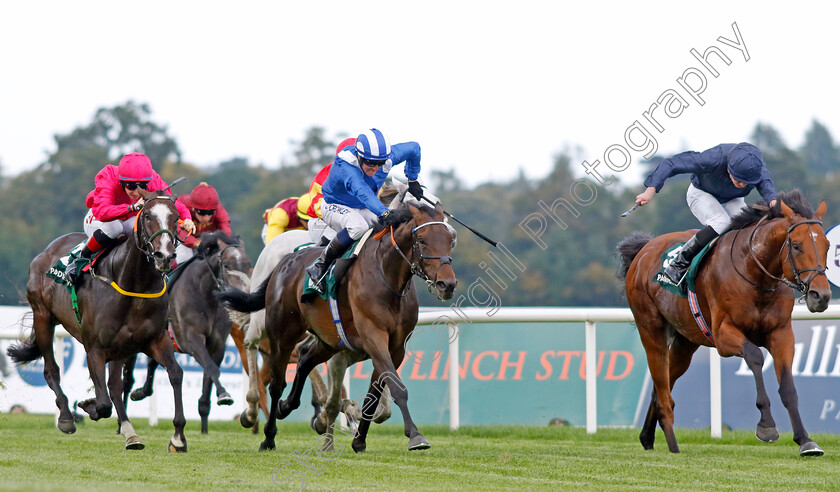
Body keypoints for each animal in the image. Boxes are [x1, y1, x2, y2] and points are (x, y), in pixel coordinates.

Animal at [8, 190, 189, 452]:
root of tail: (47, 250)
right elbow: (103, 403)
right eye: (146, 216)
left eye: (176, 218)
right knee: (51, 370)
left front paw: (178, 437)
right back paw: (66, 417)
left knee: (115, 385)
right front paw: (87, 406)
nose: (164, 256)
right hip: (43, 317)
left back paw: (130, 433)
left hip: (120, 346)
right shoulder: (94, 348)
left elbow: (175, 374)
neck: (133, 284)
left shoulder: (155, 339)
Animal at [215, 190, 452, 452]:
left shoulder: (395, 346)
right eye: (421, 240)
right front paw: (415, 436)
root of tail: (284, 262)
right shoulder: (373, 336)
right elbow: (395, 388)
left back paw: (288, 407)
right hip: (281, 334)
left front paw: (359, 439)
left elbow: (375, 395)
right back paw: (266, 432)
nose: (447, 284)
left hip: (327, 340)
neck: (387, 279)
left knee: (305, 360)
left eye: (450, 240)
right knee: (270, 372)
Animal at [620, 189, 832, 458]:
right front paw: (767, 426)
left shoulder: (782, 334)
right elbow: (755, 357)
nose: (820, 296)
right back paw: (673, 446)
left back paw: (647, 437)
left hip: (685, 342)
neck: (755, 274)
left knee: (661, 388)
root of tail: (643, 250)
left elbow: (788, 388)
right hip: (651, 331)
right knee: (662, 388)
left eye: (827, 245)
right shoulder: (723, 335)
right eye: (796, 245)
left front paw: (806, 441)